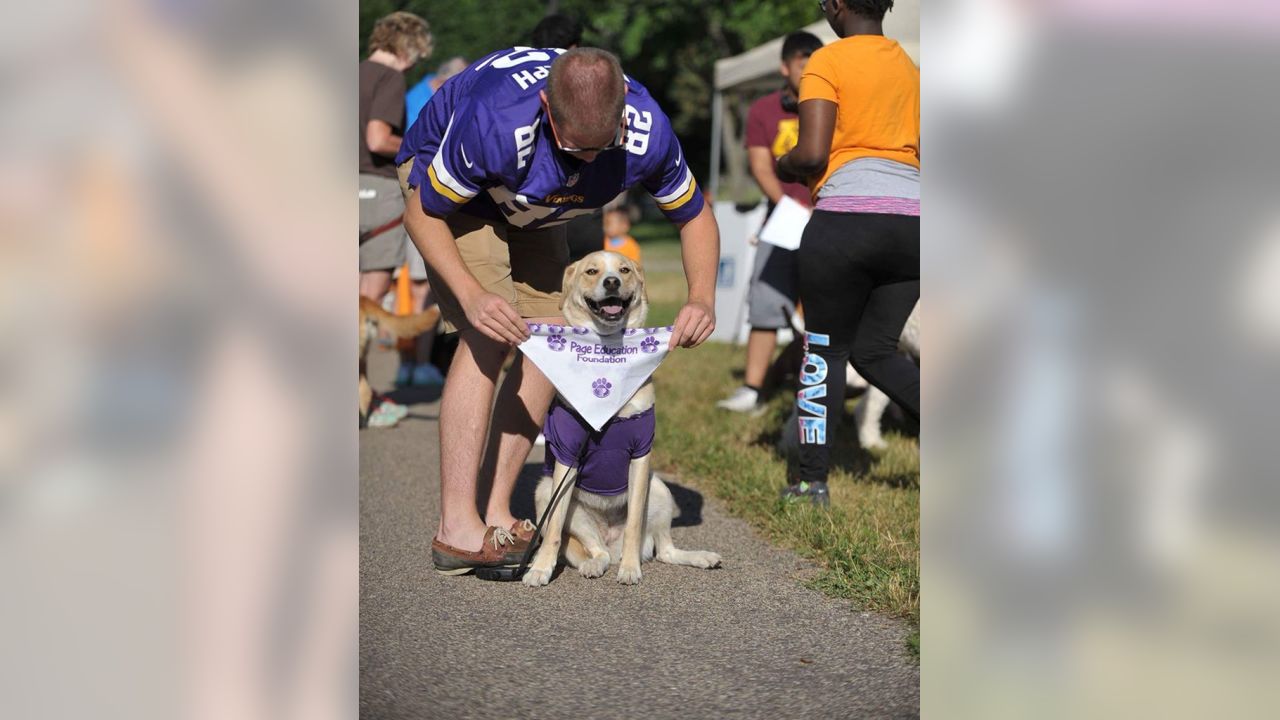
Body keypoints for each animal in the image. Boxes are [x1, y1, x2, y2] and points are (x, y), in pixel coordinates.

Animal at [519, 249, 721, 586]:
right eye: (591, 271)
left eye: (624, 270)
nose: (611, 281)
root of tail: (609, 541)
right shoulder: (566, 457)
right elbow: (554, 531)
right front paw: (541, 568)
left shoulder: (640, 455)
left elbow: (635, 525)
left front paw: (630, 569)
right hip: (547, 492)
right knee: (593, 548)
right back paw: (593, 565)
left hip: (660, 490)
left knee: (664, 549)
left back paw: (698, 557)